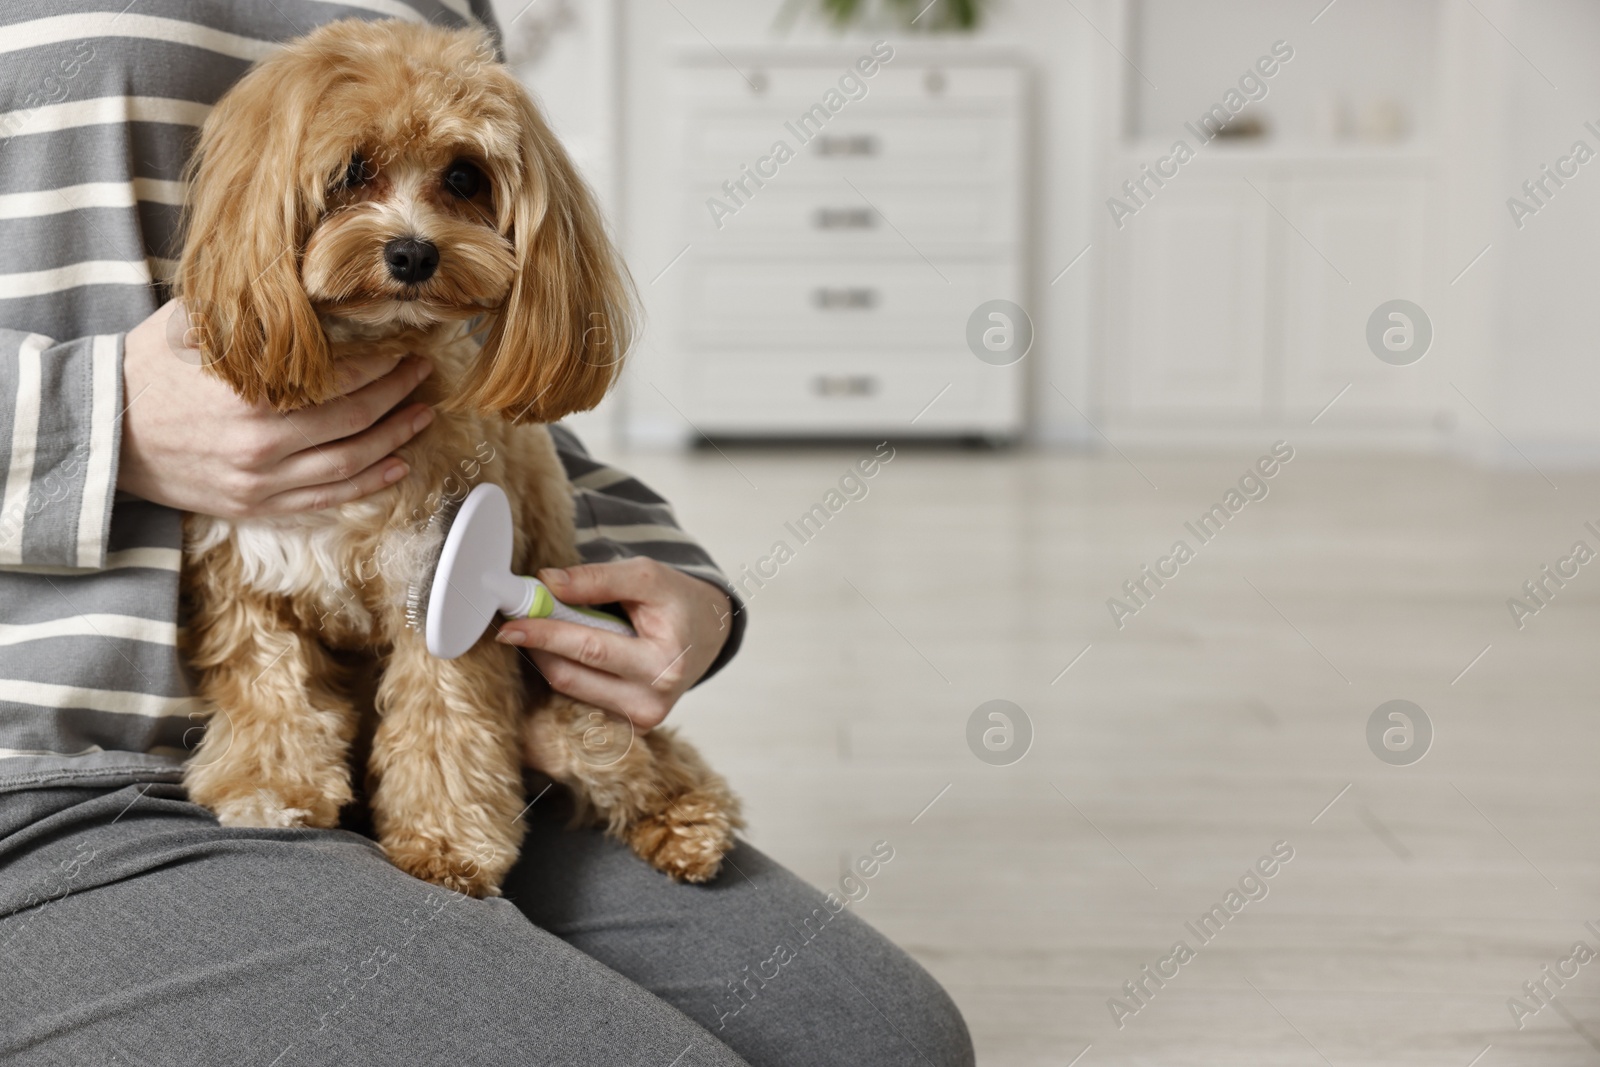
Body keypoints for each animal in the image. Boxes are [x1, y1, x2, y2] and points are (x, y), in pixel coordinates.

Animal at [178, 20, 739, 895]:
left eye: (465, 176)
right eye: (352, 170)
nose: (412, 253)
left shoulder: (436, 594)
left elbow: (446, 718)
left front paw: (446, 842)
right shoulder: (247, 580)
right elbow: (270, 689)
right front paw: (270, 787)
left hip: (580, 718)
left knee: (654, 759)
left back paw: (687, 827)